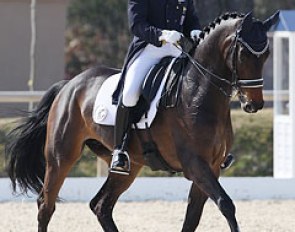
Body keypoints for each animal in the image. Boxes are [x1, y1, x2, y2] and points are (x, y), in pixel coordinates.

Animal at [6, 11, 280, 232]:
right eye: (244, 54)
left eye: (266, 54)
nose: (253, 104)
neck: (197, 93)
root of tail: (70, 85)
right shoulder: (195, 164)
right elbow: (226, 204)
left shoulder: (211, 167)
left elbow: (192, 217)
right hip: (61, 157)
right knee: (46, 205)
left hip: (129, 165)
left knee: (101, 205)